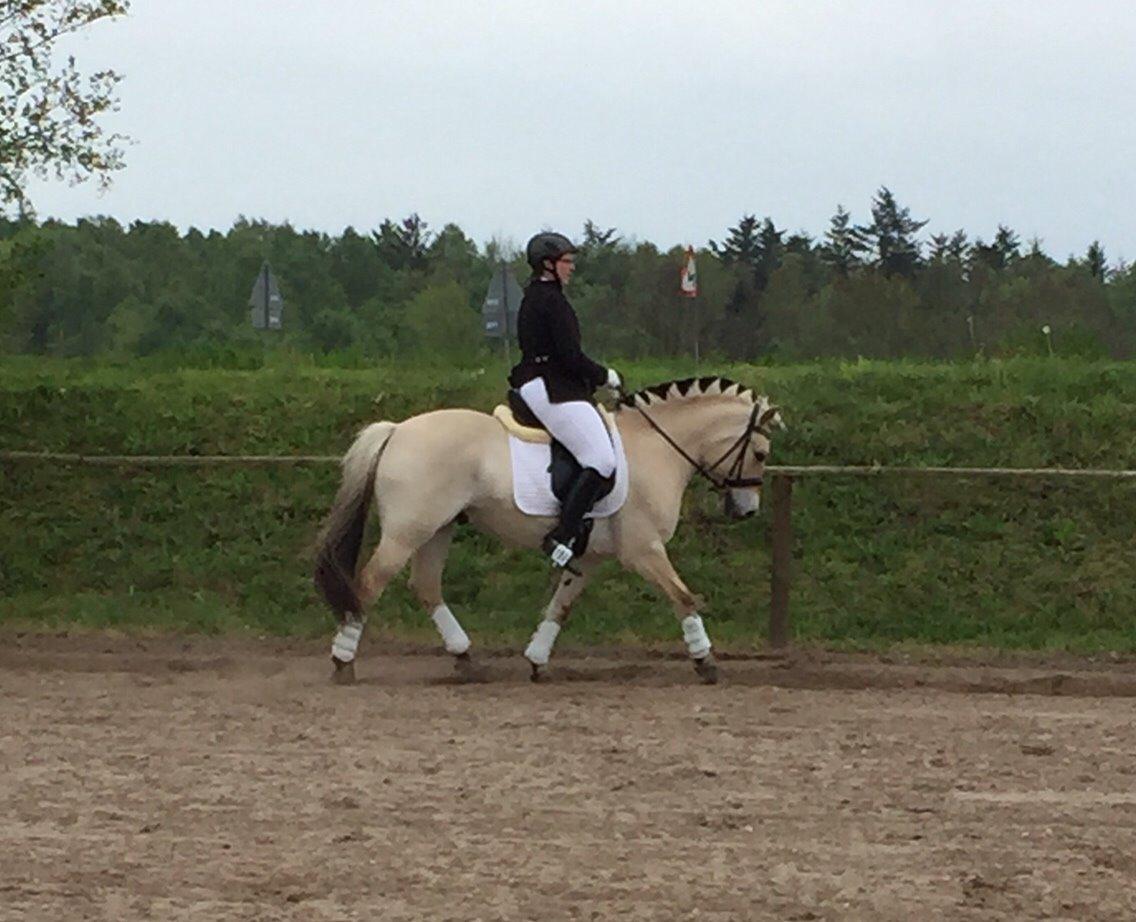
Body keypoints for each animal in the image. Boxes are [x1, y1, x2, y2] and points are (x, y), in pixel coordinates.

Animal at [315, 374, 786, 685]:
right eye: (761, 454)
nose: (746, 511)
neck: (656, 449)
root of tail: (396, 430)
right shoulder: (644, 550)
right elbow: (683, 596)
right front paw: (705, 661)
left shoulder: (590, 557)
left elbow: (561, 606)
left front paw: (537, 659)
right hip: (407, 531)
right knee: (370, 583)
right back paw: (343, 661)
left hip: (438, 528)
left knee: (426, 586)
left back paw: (466, 659)